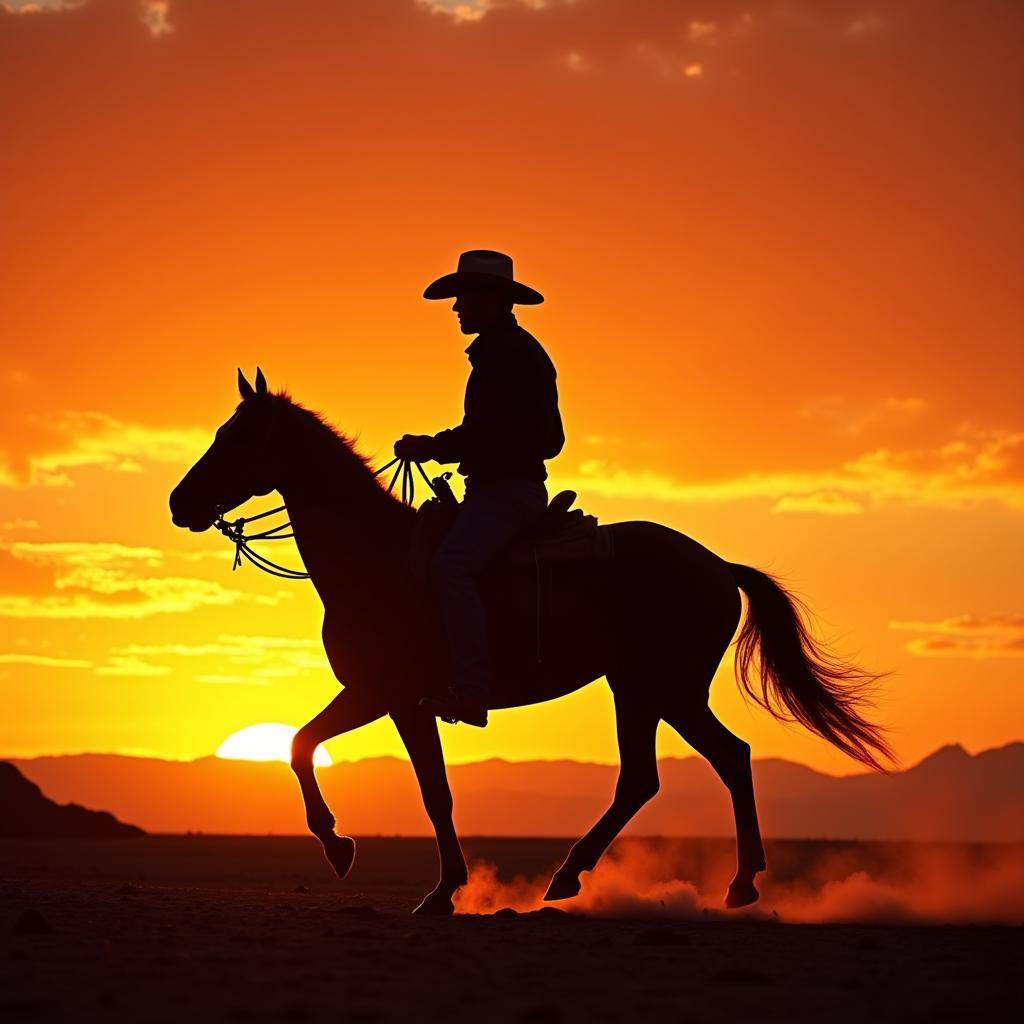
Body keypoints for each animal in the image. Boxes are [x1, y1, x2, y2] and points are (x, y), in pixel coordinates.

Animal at [167, 368, 888, 913]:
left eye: (236, 437)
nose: (179, 503)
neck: (374, 557)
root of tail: (718, 566)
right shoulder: (380, 696)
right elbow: (309, 747)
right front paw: (359, 854)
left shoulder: (389, 696)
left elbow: (406, 782)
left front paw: (416, 881)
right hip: (642, 688)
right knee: (670, 771)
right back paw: (610, 878)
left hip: (663, 687)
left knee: (709, 762)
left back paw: (702, 881)